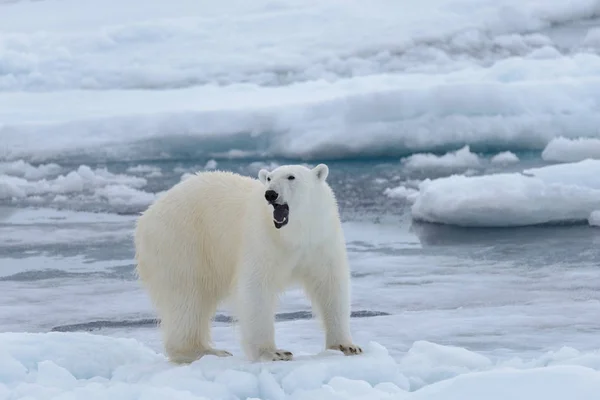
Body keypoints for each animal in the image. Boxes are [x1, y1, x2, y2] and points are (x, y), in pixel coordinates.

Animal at [136, 162, 360, 362]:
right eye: (269, 178)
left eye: (291, 177)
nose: (270, 194)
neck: (293, 235)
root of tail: (146, 215)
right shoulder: (262, 239)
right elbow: (256, 288)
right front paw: (273, 353)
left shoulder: (321, 241)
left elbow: (331, 285)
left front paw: (347, 346)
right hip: (181, 242)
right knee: (186, 297)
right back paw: (203, 351)